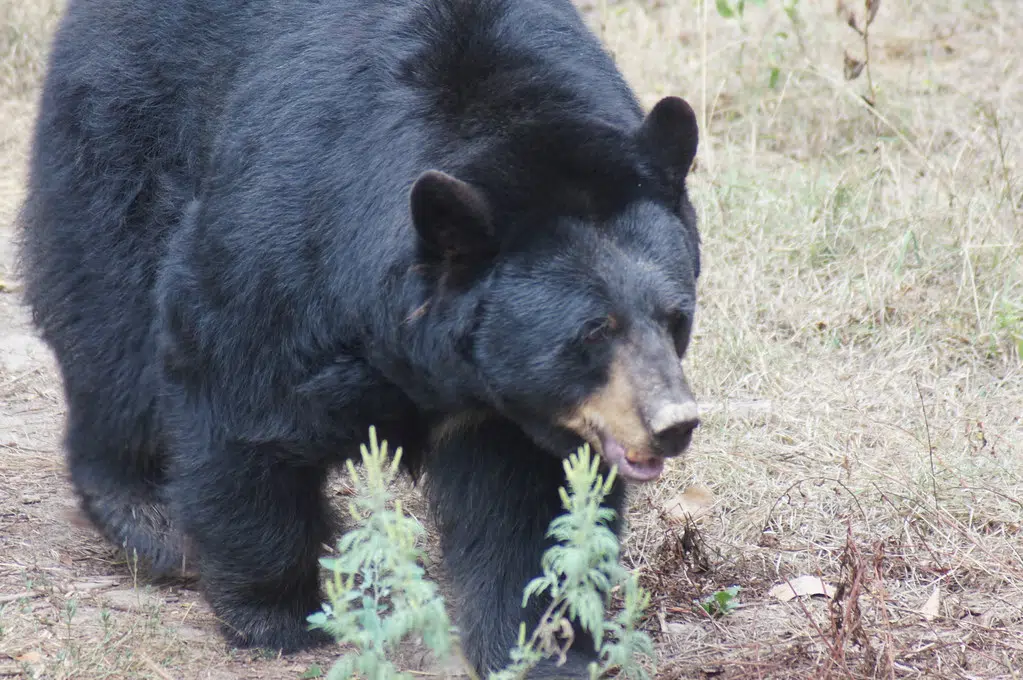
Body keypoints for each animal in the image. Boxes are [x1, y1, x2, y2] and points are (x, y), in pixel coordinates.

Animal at [18, 0, 703, 670]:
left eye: (676, 318)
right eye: (593, 331)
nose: (673, 424)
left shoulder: (511, 405)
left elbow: (525, 503)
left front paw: (540, 646)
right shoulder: (290, 237)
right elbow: (236, 389)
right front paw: (277, 614)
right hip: (124, 133)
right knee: (111, 320)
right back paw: (148, 517)